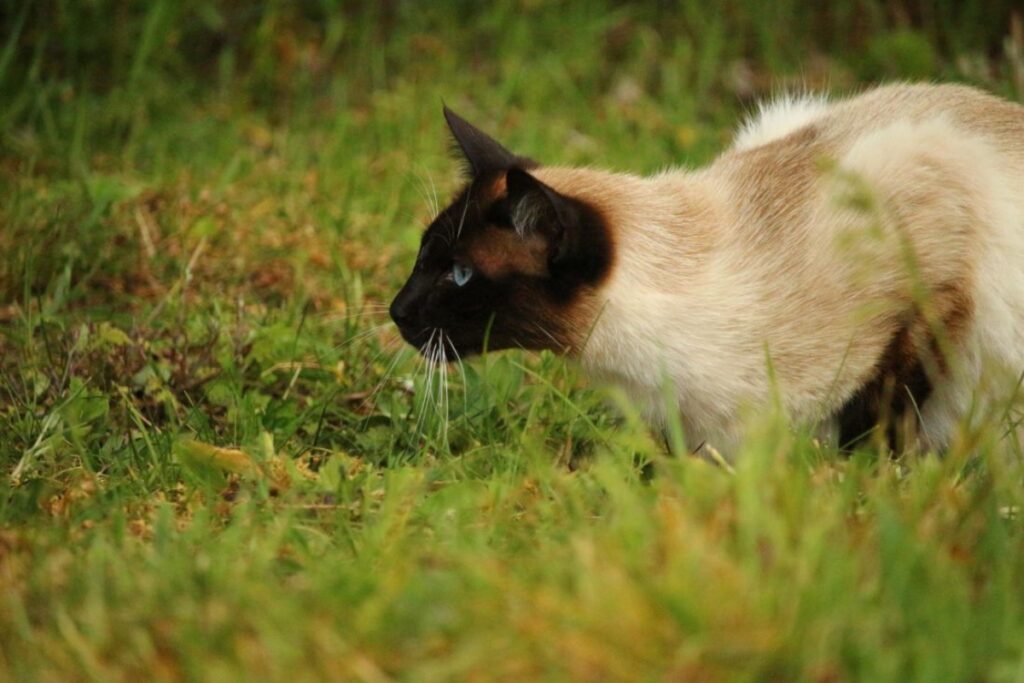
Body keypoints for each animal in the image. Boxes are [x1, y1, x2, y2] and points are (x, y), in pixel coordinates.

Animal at [389, 83, 1024, 454]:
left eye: (460, 274)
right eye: (423, 257)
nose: (395, 311)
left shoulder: (928, 289)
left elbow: (878, 418)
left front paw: (855, 491)